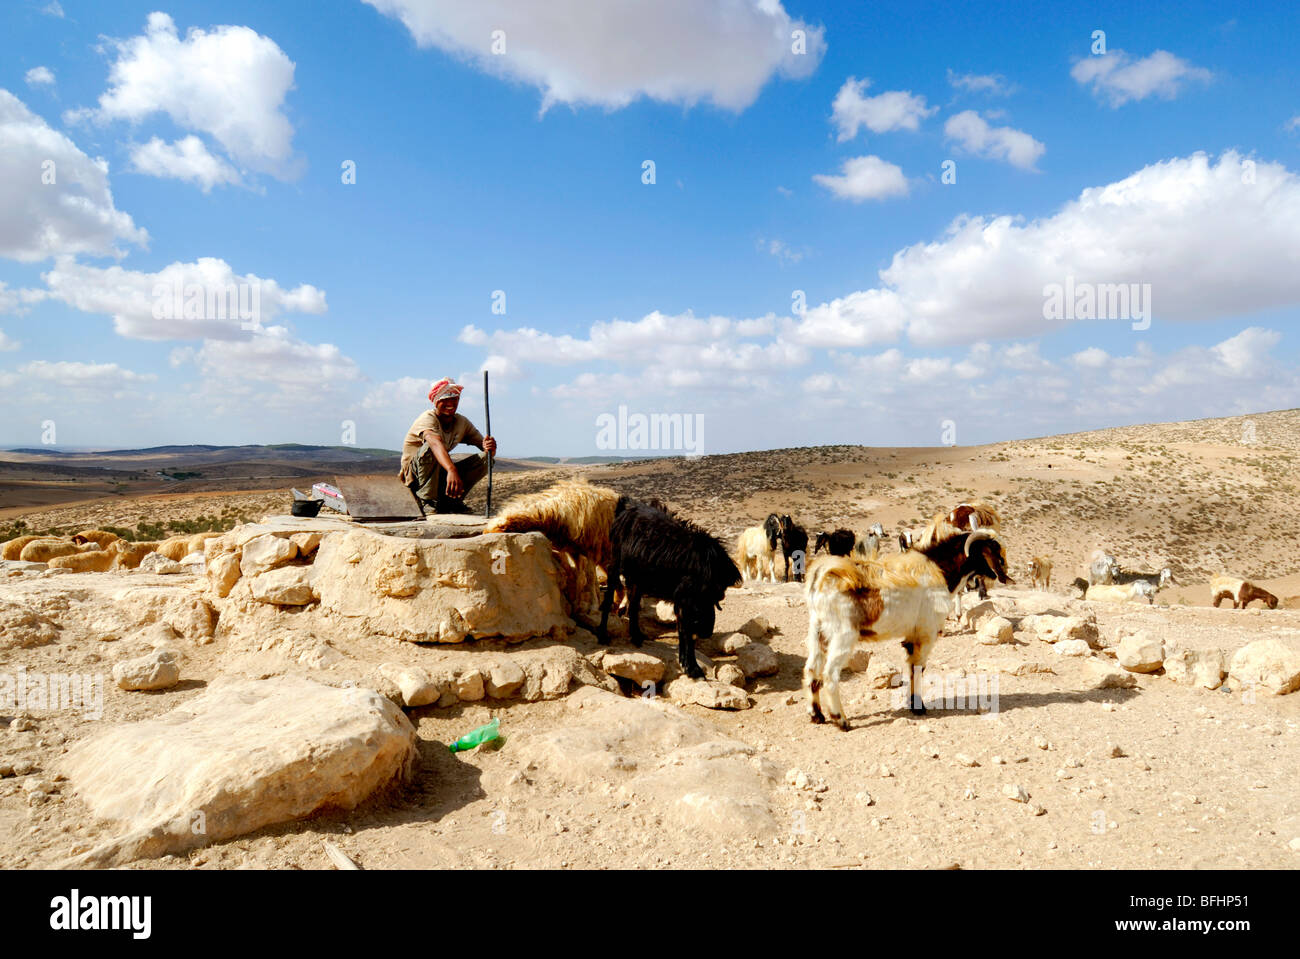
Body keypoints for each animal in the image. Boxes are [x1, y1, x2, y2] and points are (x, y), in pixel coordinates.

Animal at [595, 496, 743, 675]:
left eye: (719, 595)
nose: (707, 631)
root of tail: (627, 506)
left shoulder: (685, 601)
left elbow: (684, 630)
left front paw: (686, 663)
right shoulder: (686, 599)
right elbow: (686, 630)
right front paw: (692, 668)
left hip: (639, 578)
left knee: (634, 604)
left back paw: (637, 636)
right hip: (615, 563)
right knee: (610, 596)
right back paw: (603, 635)